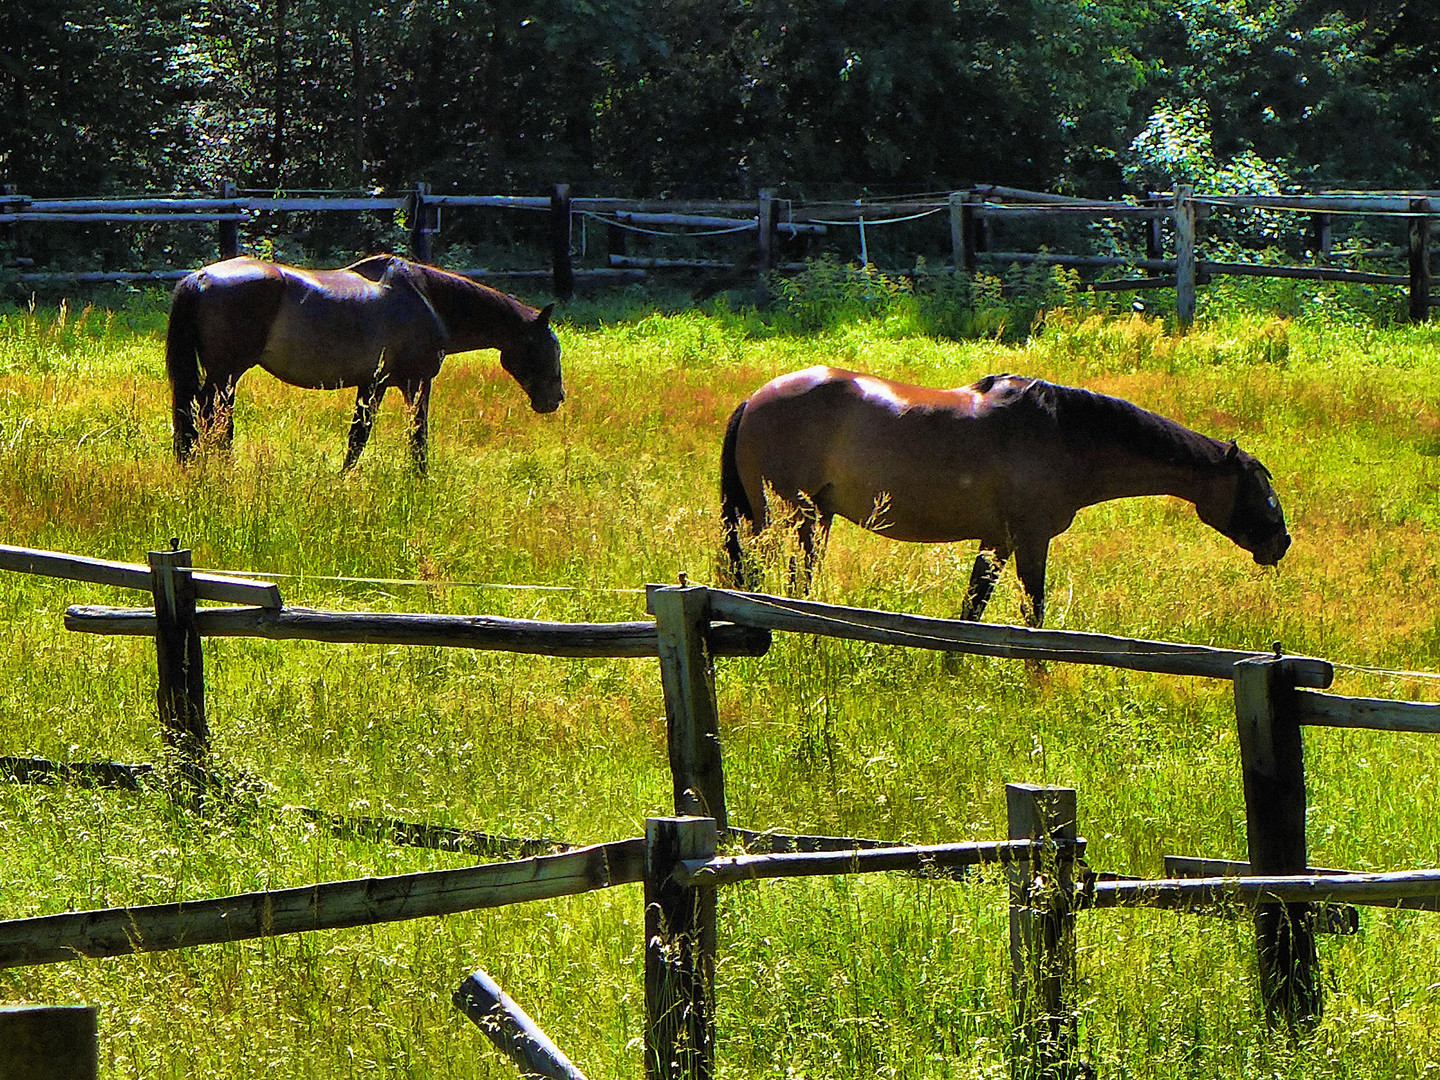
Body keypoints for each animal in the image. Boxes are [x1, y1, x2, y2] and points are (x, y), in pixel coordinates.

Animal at [162, 257, 555, 472]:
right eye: (548, 347)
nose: (555, 399)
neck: (427, 300)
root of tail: (198, 277)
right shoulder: (417, 383)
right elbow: (417, 437)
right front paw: (418, 482)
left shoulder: (373, 385)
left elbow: (357, 439)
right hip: (226, 374)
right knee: (211, 419)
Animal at [720, 371, 1296, 630]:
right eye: (1263, 492)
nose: (1281, 543)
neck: (1063, 433)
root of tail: (755, 398)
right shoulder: (1030, 540)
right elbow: (1033, 611)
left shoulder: (996, 541)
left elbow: (971, 609)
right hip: (782, 518)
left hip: (815, 517)